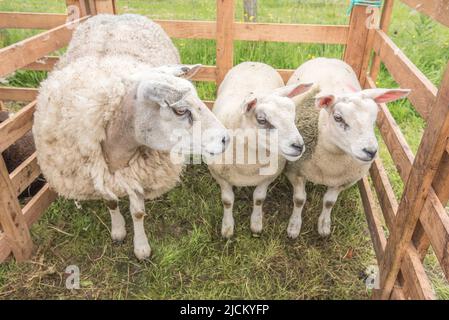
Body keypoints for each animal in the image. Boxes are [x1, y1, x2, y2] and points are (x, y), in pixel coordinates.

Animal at [32, 15, 228, 260]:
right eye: (180, 110)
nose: (226, 138)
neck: (118, 152)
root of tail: (113, 15)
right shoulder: (99, 174)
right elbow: (110, 202)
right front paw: (118, 231)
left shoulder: (136, 174)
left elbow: (138, 213)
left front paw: (141, 247)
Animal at [207, 62, 310, 238]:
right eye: (262, 120)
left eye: (293, 116)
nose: (298, 146)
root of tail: (254, 62)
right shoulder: (219, 176)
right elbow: (227, 201)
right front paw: (227, 228)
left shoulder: (268, 177)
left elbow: (259, 199)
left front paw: (256, 224)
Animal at [284, 57, 410, 238]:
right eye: (338, 118)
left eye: (374, 118)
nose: (370, 151)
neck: (330, 163)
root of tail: (327, 58)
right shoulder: (294, 171)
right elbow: (299, 200)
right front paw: (294, 227)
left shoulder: (344, 181)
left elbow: (329, 202)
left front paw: (324, 225)